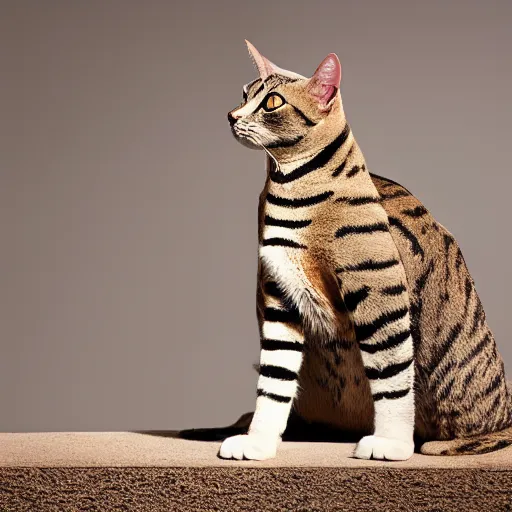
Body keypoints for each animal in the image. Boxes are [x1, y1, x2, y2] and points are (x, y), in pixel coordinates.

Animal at [217, 42, 512, 462]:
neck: (290, 188)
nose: (232, 115)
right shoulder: (278, 299)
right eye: (245, 94)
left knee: (484, 434)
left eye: (272, 102)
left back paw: (439, 443)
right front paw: (259, 440)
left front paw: (391, 443)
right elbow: (273, 382)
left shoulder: (379, 296)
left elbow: (392, 379)